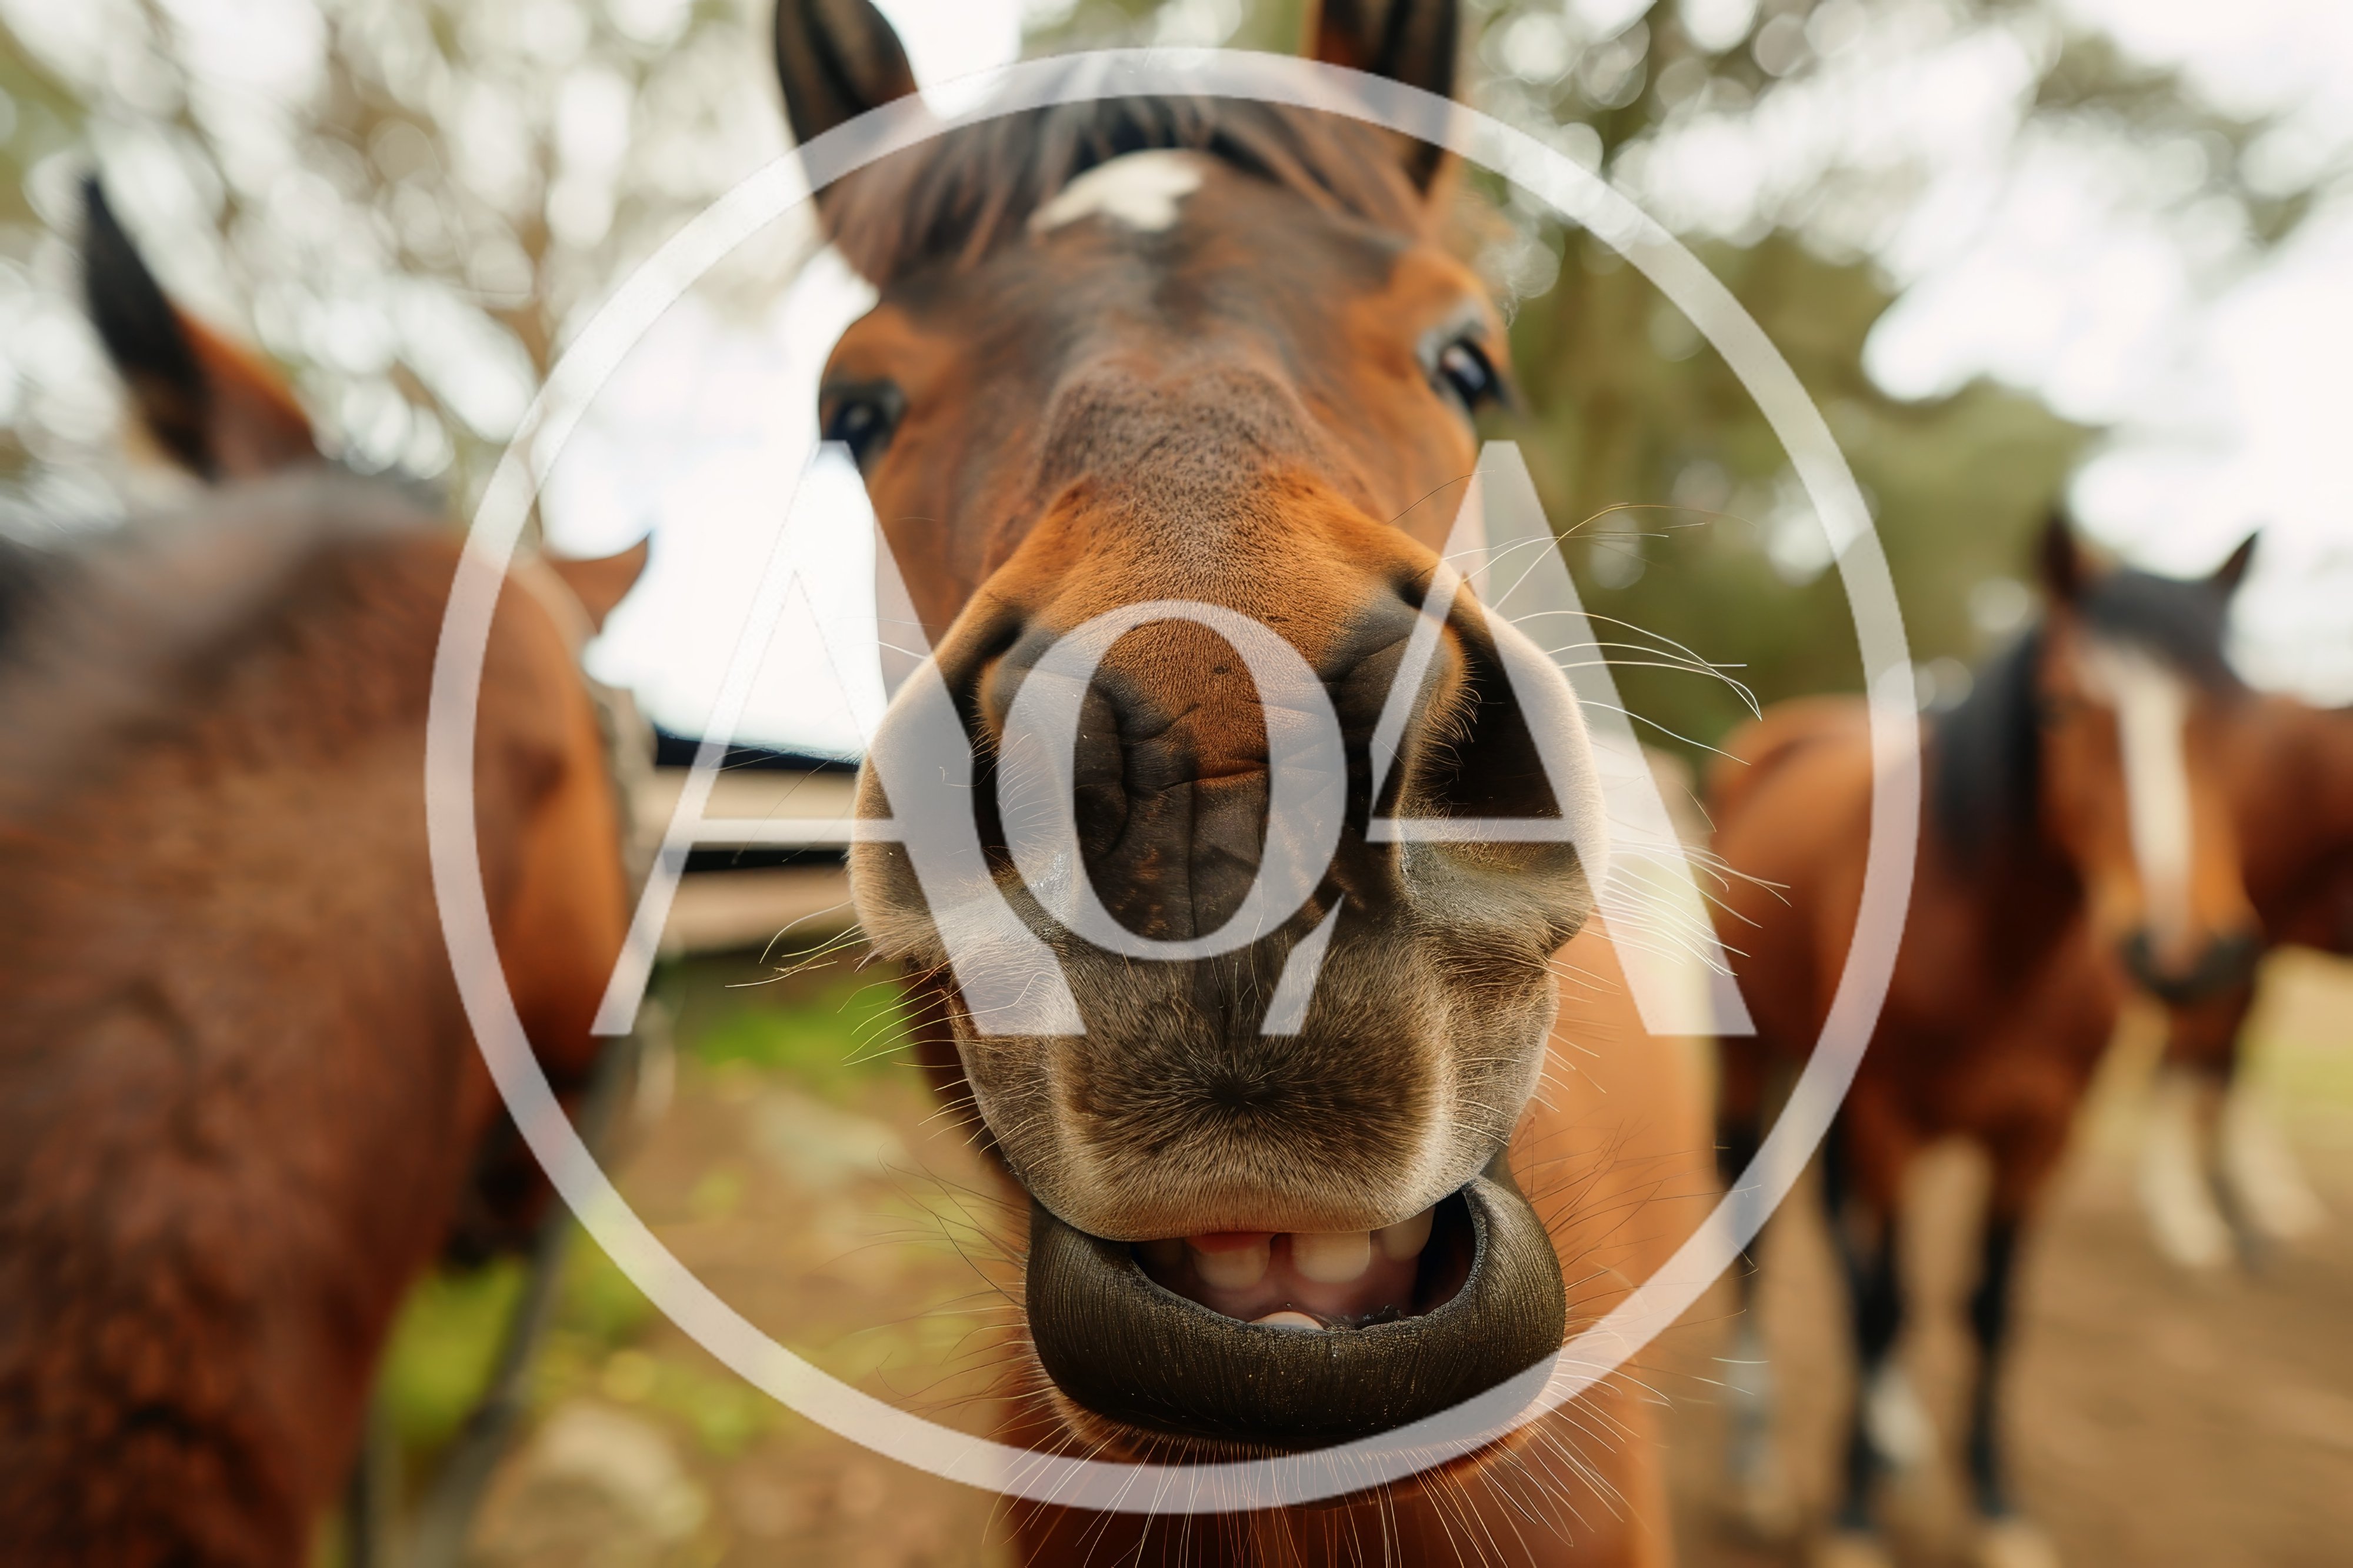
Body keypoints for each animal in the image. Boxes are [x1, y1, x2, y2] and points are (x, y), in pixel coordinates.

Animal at [1706, 516, 2261, 1568]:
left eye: (2238, 713)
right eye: (2060, 708)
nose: (2183, 948)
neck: (1994, 950)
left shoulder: (2041, 1138)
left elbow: (1989, 1310)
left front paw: (1995, 1505)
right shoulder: (1887, 1118)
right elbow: (1891, 1301)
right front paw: (1853, 1515)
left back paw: (1894, 1431)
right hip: (1749, 1060)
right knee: (1763, 1223)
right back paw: (1760, 1463)